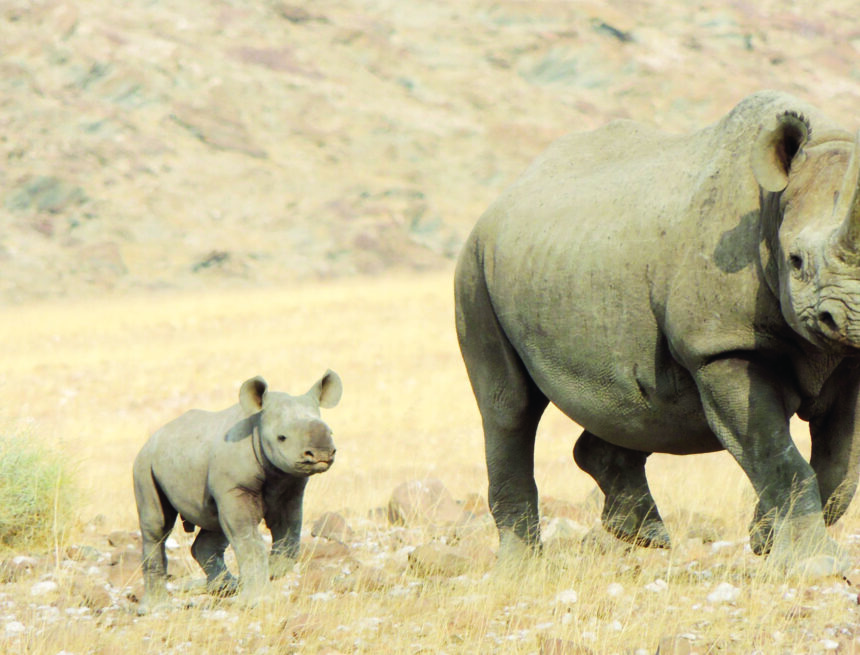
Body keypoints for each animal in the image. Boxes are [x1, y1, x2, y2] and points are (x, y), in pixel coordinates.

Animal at [132, 370, 342, 611]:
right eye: (282, 437)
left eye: (331, 432)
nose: (321, 454)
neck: (257, 427)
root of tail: (153, 437)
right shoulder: (235, 487)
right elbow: (248, 538)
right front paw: (259, 601)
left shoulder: (290, 485)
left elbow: (289, 528)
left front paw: (277, 569)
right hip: (144, 464)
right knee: (157, 527)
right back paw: (155, 609)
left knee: (214, 522)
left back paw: (226, 588)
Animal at [455, 91, 860, 575]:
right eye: (796, 262)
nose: (848, 319)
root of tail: (501, 198)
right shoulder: (719, 346)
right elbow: (779, 456)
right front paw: (814, 563)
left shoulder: (848, 362)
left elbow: (840, 465)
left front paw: (763, 537)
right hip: (474, 265)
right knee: (509, 408)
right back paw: (520, 570)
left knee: (630, 404)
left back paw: (642, 535)